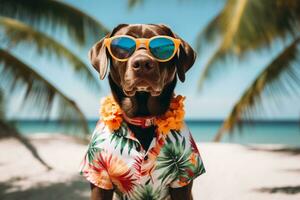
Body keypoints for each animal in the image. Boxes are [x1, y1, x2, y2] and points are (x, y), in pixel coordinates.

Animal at [81, 23, 205, 200]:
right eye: (121, 47)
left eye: (162, 47)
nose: (142, 63)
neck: (142, 118)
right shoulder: (99, 177)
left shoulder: (183, 178)